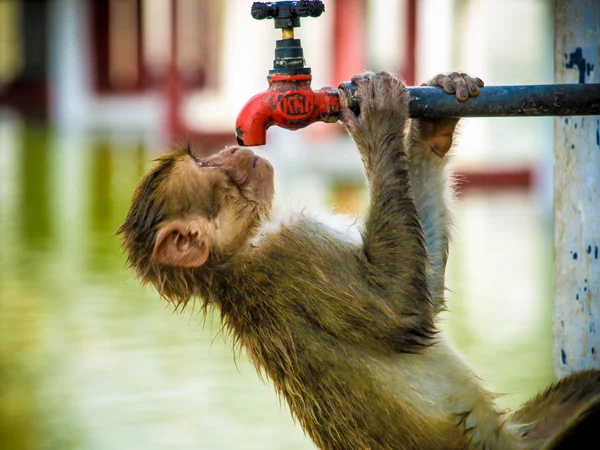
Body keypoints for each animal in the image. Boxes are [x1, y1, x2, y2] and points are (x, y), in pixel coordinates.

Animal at [119, 71, 600, 450]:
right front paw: (377, 120)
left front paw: (436, 122)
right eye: (206, 164)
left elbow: (424, 291)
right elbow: (401, 312)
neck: (238, 252)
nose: (233, 148)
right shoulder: (292, 251)